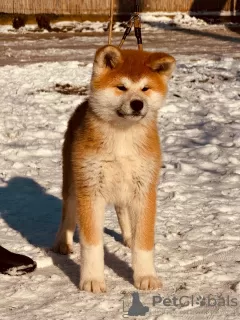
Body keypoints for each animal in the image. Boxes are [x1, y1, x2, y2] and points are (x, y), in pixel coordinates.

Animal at [53, 44, 175, 292]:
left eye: (145, 88)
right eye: (121, 87)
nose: (137, 103)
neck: (122, 136)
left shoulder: (144, 189)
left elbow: (144, 242)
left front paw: (145, 276)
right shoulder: (90, 190)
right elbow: (92, 245)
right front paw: (92, 280)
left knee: (122, 210)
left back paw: (128, 236)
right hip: (73, 181)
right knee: (68, 212)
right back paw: (63, 241)